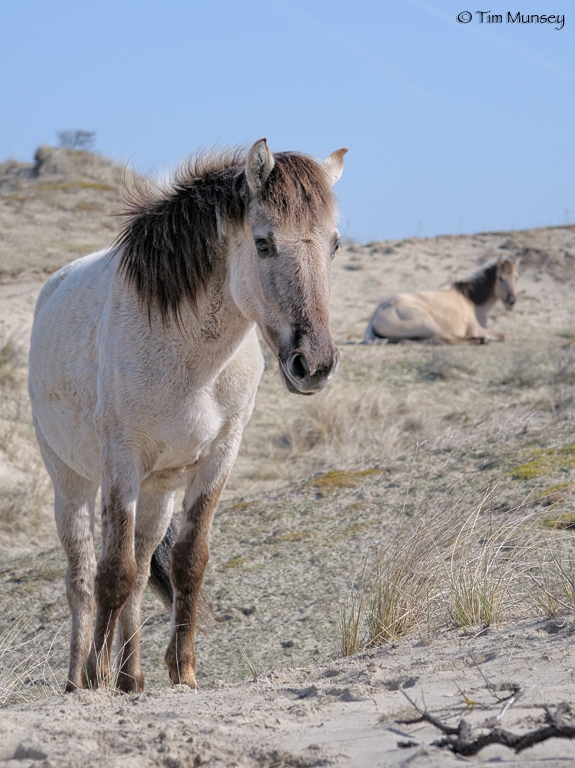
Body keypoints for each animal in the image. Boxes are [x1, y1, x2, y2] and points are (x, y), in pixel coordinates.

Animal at [28, 141, 346, 692]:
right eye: (263, 243)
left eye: (335, 244)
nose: (315, 364)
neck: (189, 355)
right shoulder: (121, 464)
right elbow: (112, 573)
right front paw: (95, 676)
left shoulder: (218, 458)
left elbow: (186, 564)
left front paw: (183, 674)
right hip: (71, 483)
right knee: (83, 579)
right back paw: (78, 681)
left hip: (158, 492)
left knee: (140, 571)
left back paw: (131, 680)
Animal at [362, 258, 520, 342]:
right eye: (501, 278)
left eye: (516, 277)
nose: (511, 301)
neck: (469, 299)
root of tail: (374, 317)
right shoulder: (477, 328)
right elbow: (501, 335)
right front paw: (488, 338)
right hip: (427, 324)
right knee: (449, 339)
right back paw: (480, 340)